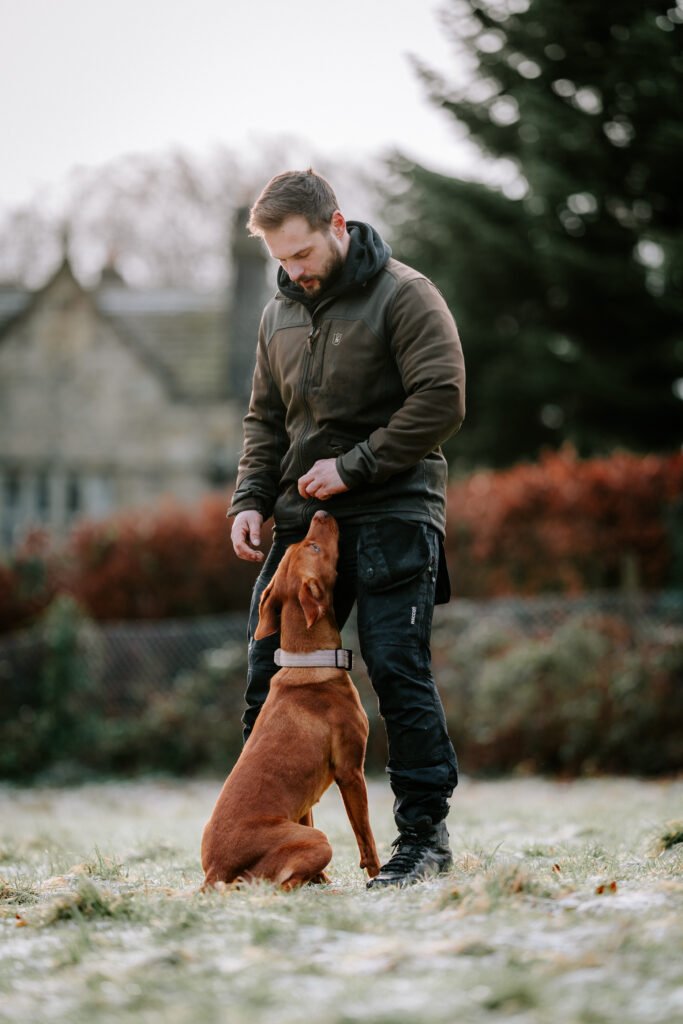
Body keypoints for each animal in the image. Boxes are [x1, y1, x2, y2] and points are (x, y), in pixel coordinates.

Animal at [201, 510, 380, 889]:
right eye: (313, 547)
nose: (321, 512)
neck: (310, 662)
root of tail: (214, 871)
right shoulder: (350, 771)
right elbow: (366, 836)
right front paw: (380, 873)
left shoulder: (306, 802)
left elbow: (309, 815)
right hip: (320, 841)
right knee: (280, 886)